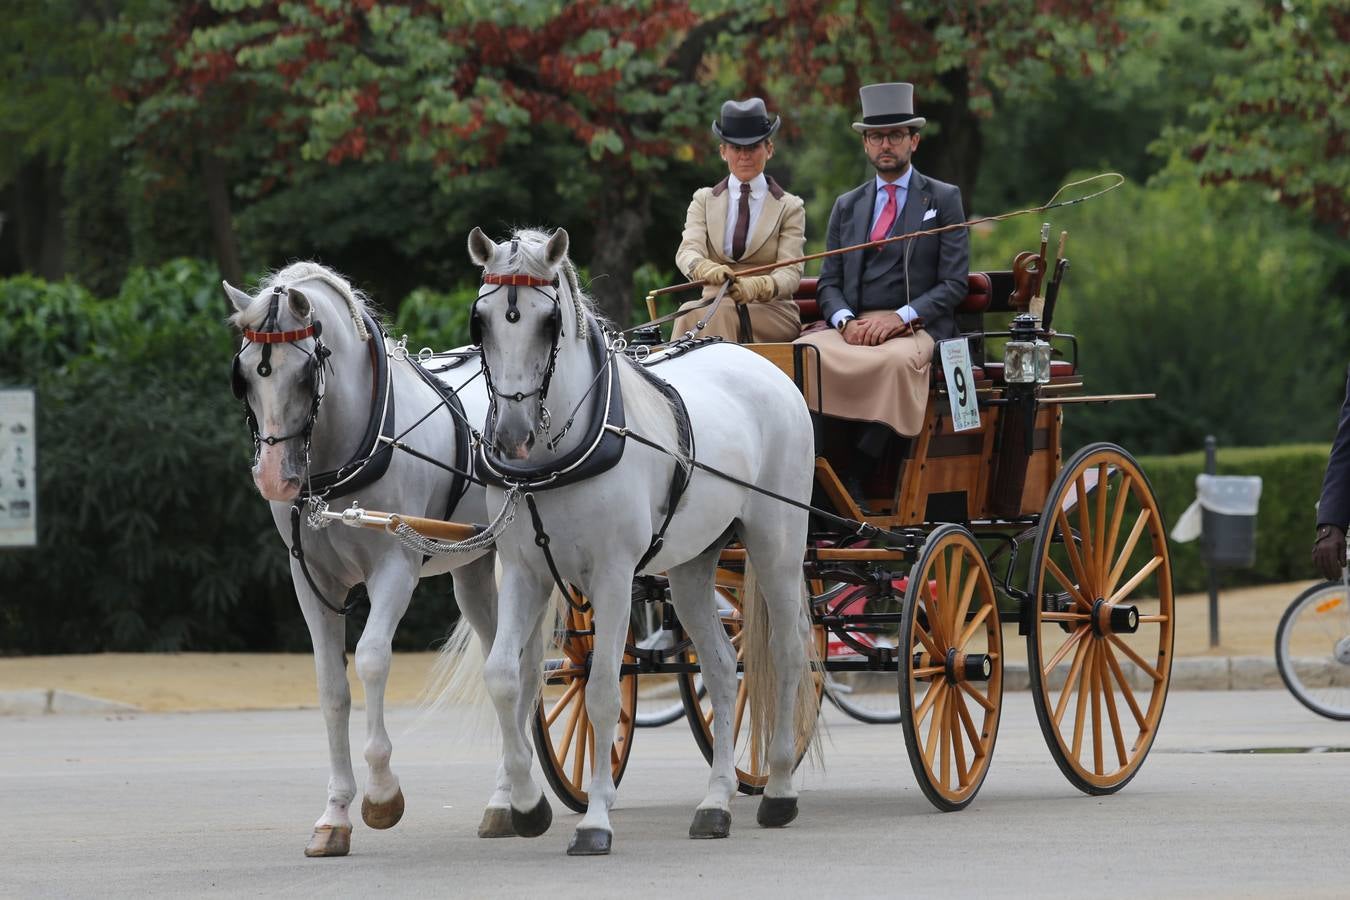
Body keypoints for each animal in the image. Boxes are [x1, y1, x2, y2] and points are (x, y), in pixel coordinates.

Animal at [226, 265, 515, 858]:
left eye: (305, 373)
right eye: (243, 375)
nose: (274, 479)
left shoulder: (395, 569)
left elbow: (373, 659)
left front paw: (382, 793)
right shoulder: (310, 580)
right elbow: (331, 687)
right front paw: (335, 813)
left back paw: (511, 795)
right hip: (473, 566)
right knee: (501, 658)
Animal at [464, 229, 815, 858]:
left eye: (549, 322)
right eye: (481, 321)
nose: (511, 436)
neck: (559, 455)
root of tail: (762, 364)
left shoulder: (612, 575)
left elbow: (603, 690)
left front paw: (595, 820)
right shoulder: (526, 572)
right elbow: (506, 678)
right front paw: (526, 807)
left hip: (778, 540)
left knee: (787, 650)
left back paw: (777, 789)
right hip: (694, 564)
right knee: (721, 666)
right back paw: (715, 802)